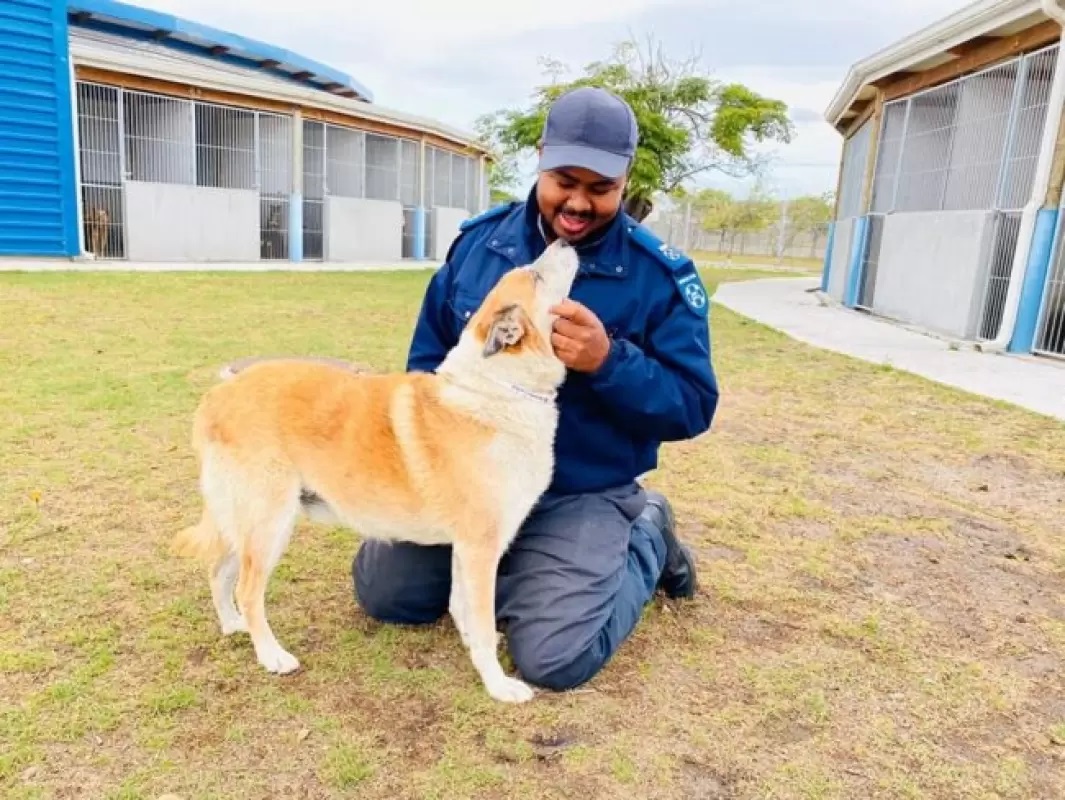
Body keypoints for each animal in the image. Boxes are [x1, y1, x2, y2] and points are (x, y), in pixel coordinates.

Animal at [172, 240, 583, 703]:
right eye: (536, 276)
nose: (564, 242)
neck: (497, 389)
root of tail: (218, 396)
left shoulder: (466, 548)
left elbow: (462, 607)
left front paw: (472, 646)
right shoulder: (481, 548)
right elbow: (478, 618)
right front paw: (497, 683)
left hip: (245, 523)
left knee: (220, 572)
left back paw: (232, 625)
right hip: (269, 524)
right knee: (246, 588)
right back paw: (271, 655)